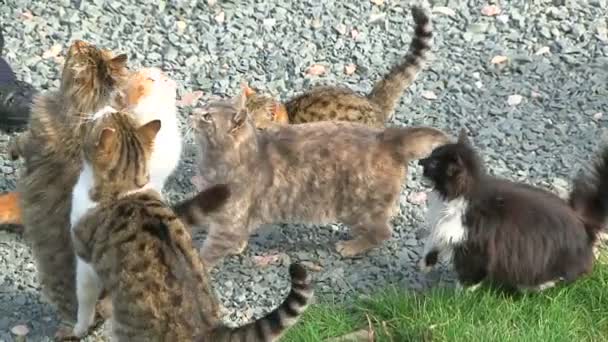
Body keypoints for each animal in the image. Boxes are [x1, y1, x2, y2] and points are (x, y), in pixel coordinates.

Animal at [69, 109, 312, 340]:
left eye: (99, 118)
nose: (101, 109)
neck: (127, 186)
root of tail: (211, 328)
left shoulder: (84, 260)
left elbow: (84, 301)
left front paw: (79, 328)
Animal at [173, 90, 448, 268]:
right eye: (204, 108)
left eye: (207, 116)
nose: (192, 112)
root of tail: (388, 138)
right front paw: (239, 246)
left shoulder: (228, 221)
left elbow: (208, 252)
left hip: (356, 209)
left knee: (383, 231)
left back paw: (352, 247)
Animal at [418, 130, 608, 292]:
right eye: (431, 155)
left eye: (434, 163)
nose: (420, 162)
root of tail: (582, 222)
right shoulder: (444, 228)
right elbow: (432, 243)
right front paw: (425, 264)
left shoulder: (475, 247)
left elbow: (469, 278)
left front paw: (459, 298)